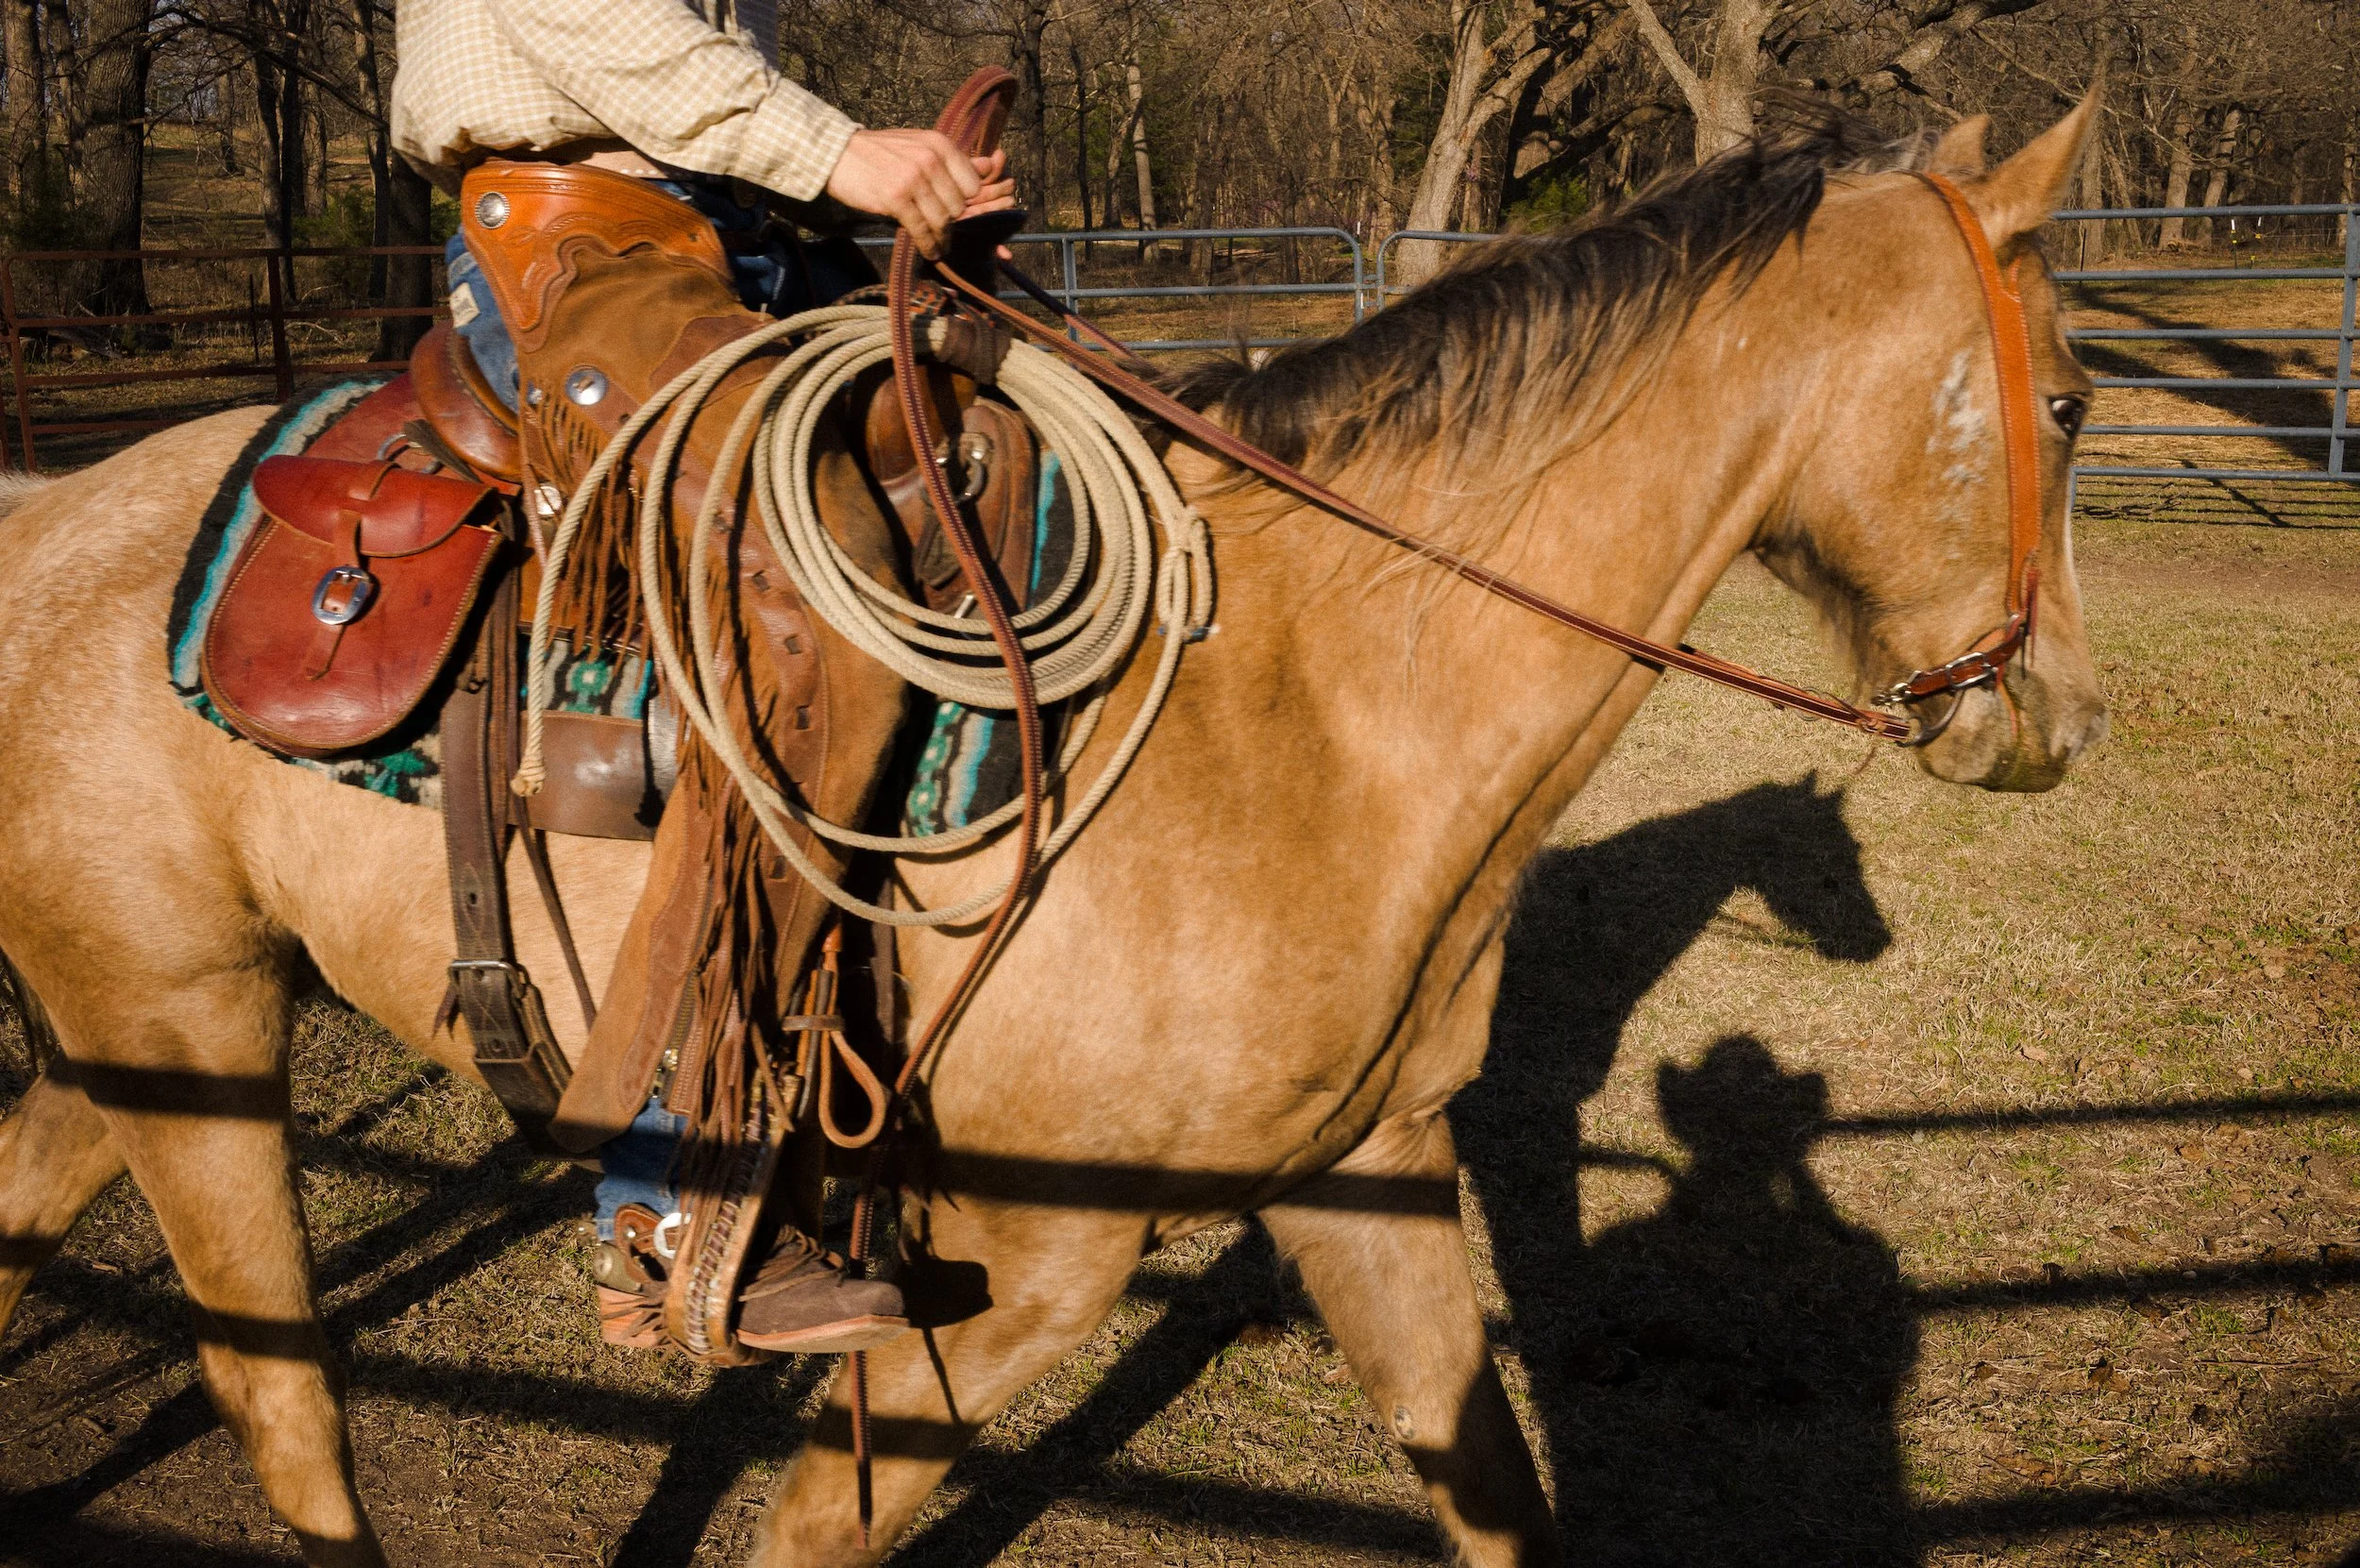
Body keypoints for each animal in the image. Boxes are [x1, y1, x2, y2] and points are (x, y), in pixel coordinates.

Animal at [0, 99, 2106, 1566]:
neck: (1315, 702)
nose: (2059, 720)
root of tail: (52, 517)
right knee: (275, 1384)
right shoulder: (1019, 1270)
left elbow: (1484, 1479)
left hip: (150, 1026)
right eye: (2079, 398)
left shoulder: (1366, 1176)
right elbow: (812, 1528)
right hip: (183, 1026)